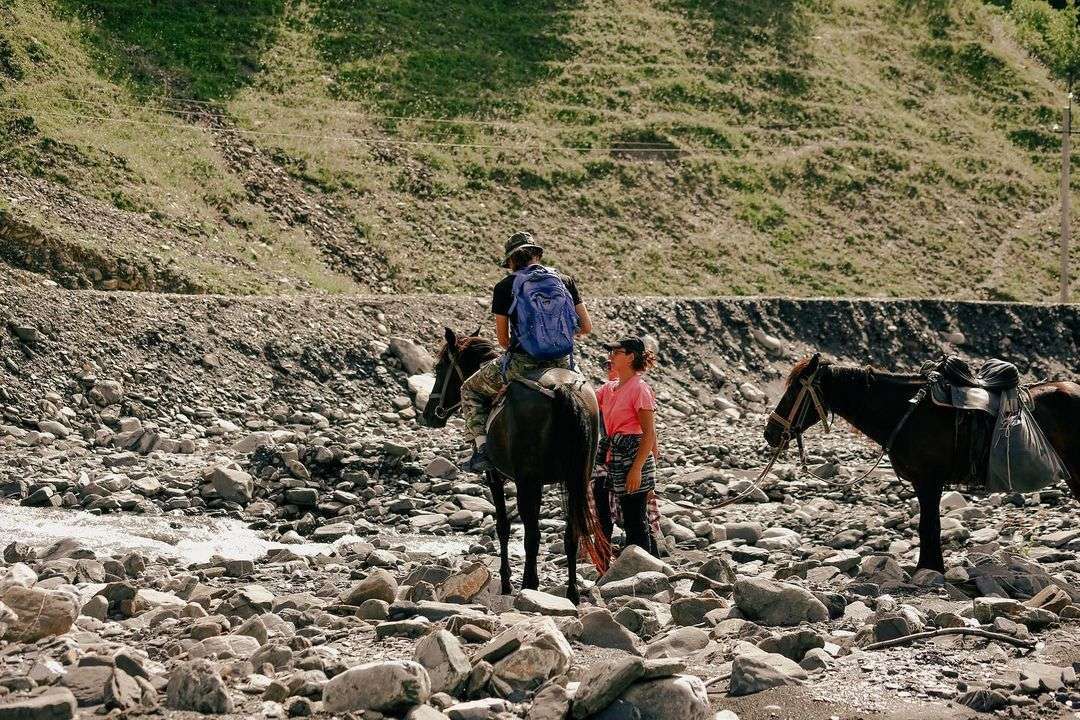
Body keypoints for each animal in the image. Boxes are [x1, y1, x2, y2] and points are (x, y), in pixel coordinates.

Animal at [420, 327, 611, 604]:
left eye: (440, 366)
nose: (429, 414)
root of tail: (560, 387)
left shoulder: (495, 476)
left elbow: (503, 525)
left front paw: (507, 581)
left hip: (528, 482)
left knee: (532, 534)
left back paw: (529, 585)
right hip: (578, 479)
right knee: (571, 531)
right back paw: (572, 593)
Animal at [764, 353, 1080, 572]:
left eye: (794, 391)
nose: (771, 433)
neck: (905, 411)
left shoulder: (928, 480)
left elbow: (929, 525)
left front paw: (928, 568)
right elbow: (927, 525)